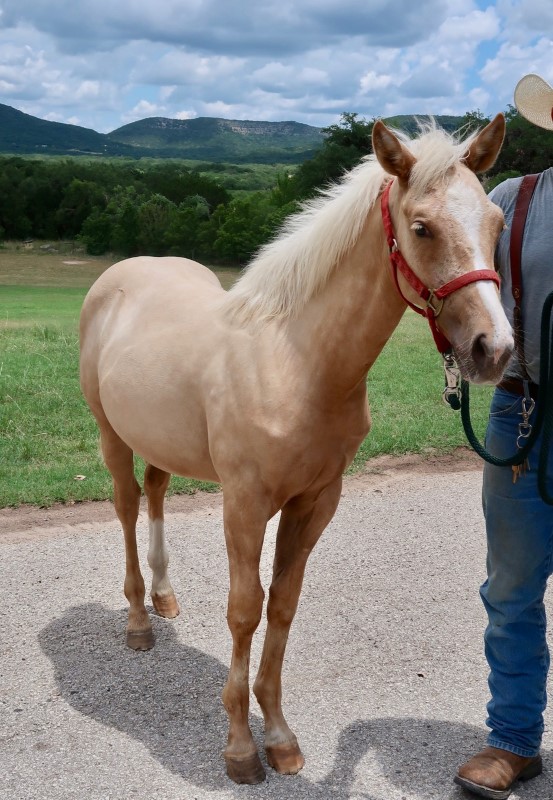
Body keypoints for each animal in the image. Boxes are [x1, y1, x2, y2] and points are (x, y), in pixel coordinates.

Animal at [81, 115, 512, 784]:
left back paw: (165, 598)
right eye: (421, 227)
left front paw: (279, 737)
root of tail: (119, 276)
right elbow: (244, 609)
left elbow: (282, 606)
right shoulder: (245, 501)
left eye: (495, 223)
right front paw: (238, 748)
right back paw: (137, 622)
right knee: (127, 507)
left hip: (160, 439)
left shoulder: (315, 501)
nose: (495, 349)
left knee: (154, 493)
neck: (300, 362)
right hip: (111, 434)